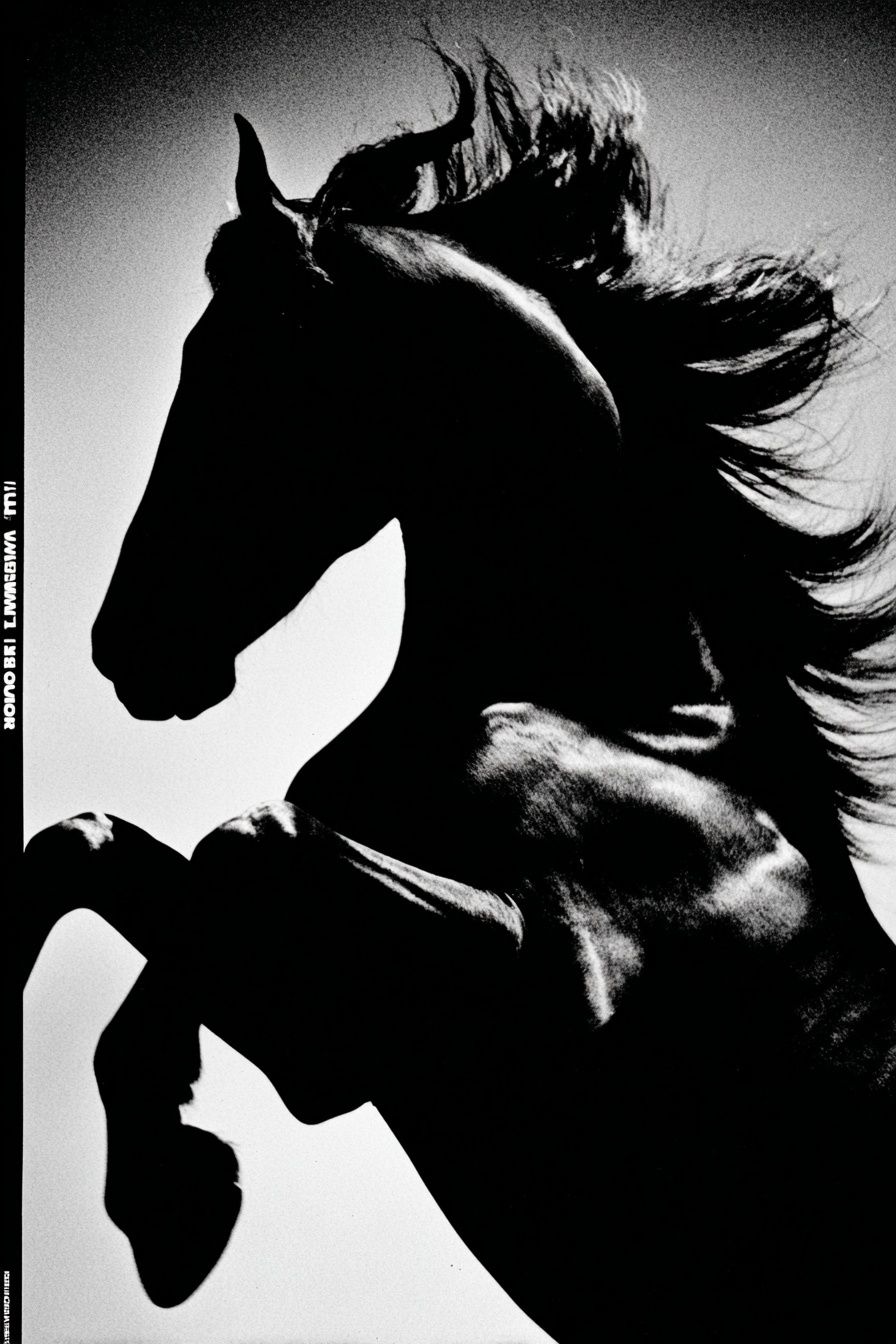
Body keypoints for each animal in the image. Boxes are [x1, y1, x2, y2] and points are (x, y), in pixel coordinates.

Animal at [24, 49, 896, 1342]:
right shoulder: (328, 1044)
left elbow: (247, 837)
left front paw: (173, 1193)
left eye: (250, 362)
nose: (126, 645)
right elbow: (83, 846)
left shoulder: (536, 1002)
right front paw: (172, 1185)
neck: (620, 717)